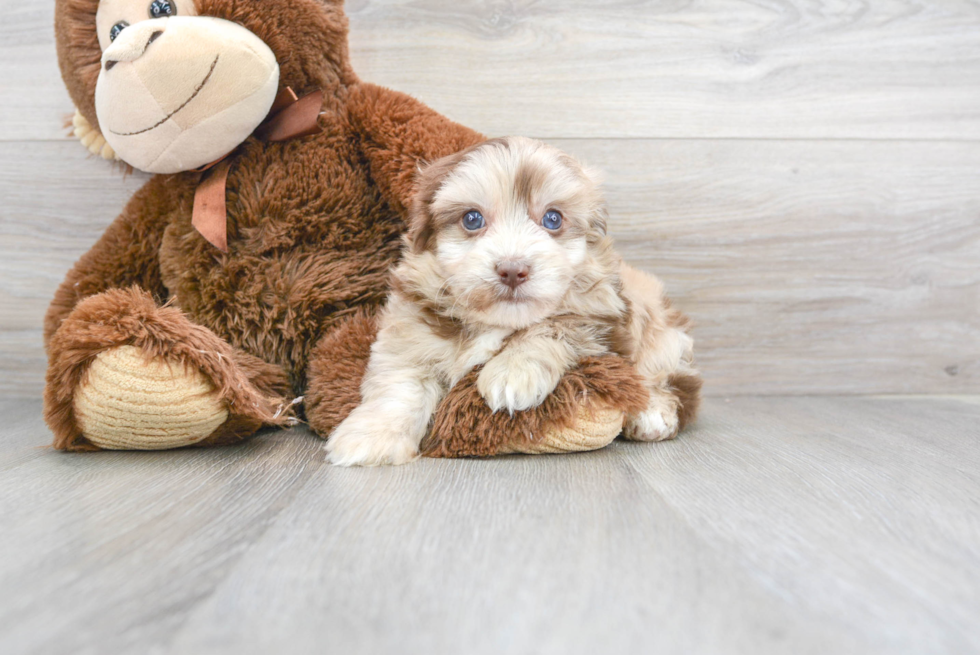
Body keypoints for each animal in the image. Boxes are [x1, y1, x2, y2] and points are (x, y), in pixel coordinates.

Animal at [326, 137, 700, 466]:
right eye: (472, 219)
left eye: (553, 219)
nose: (512, 270)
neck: (494, 321)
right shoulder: (409, 333)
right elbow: (400, 386)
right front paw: (371, 437)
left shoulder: (598, 315)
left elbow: (552, 326)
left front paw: (513, 373)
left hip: (657, 325)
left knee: (667, 373)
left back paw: (653, 413)